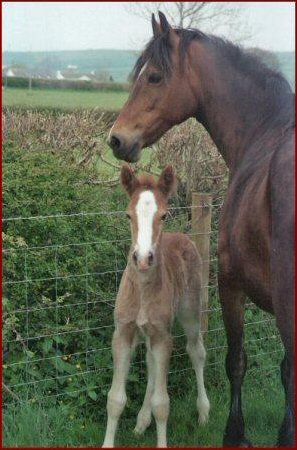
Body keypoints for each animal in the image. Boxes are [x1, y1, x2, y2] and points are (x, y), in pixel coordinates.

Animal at [103, 165, 209, 446]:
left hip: (191, 312)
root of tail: (185, 237)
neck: (141, 291)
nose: (142, 258)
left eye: (163, 215)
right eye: (128, 214)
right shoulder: (123, 333)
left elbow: (163, 404)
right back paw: (142, 421)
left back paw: (204, 413)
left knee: (197, 352)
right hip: (148, 333)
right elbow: (115, 399)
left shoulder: (163, 336)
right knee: (151, 365)